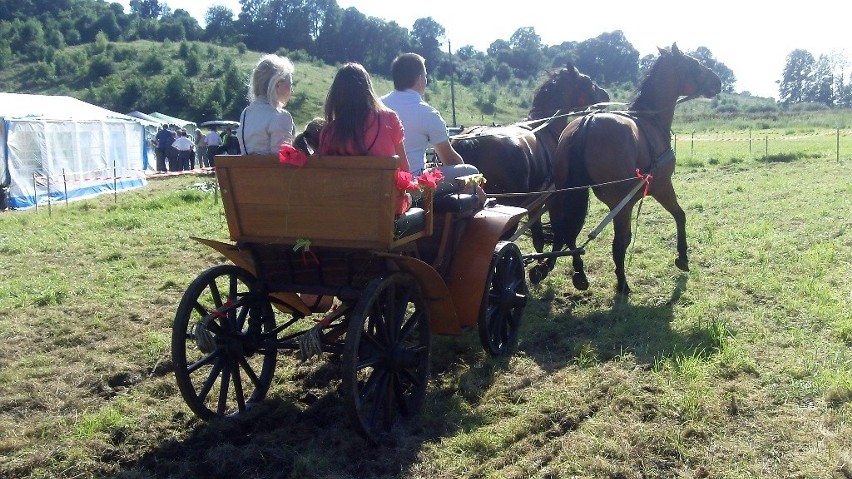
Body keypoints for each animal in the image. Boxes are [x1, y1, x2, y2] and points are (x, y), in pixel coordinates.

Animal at [548, 43, 724, 294]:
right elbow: (679, 216)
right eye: (694, 64)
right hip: (620, 204)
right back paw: (622, 283)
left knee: (569, 232)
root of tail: (587, 122)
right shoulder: (661, 187)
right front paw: (682, 257)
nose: (717, 81)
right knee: (617, 242)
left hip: (570, 194)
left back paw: (578, 273)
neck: (650, 119)